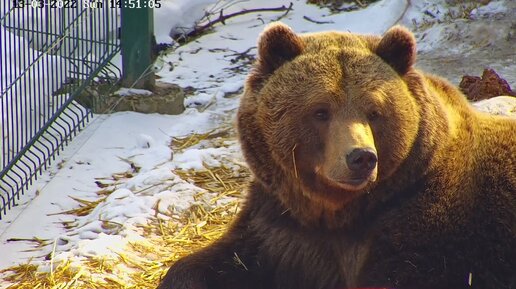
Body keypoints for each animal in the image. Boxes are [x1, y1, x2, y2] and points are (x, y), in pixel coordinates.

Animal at [158, 22, 516, 288]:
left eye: (374, 111)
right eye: (320, 111)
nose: (361, 157)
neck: (339, 212)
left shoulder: (420, 227)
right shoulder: (280, 224)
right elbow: (220, 260)